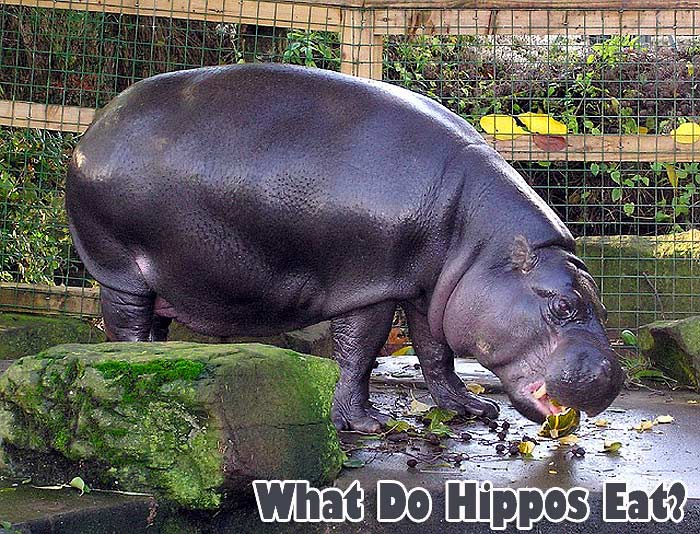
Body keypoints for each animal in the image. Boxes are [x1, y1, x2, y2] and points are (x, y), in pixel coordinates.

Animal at [66, 63, 624, 432]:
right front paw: (366, 424)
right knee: (127, 326)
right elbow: (360, 353)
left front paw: (471, 409)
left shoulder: (430, 289)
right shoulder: (371, 282)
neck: (482, 245)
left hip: (164, 276)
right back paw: (136, 363)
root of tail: (93, 130)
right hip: (120, 269)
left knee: (155, 324)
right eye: (562, 305)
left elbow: (435, 351)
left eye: (600, 304)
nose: (612, 377)